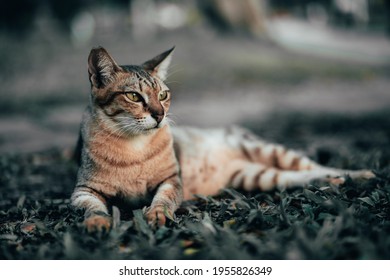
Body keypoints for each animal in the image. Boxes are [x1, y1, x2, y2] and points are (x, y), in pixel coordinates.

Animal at [71, 47, 374, 232]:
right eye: (134, 96)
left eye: (163, 95)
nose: (159, 115)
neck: (133, 147)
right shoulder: (83, 190)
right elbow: (93, 208)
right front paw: (97, 222)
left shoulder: (171, 181)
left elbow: (163, 200)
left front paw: (156, 214)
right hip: (260, 177)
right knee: (301, 176)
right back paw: (335, 182)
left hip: (268, 151)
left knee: (317, 167)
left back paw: (359, 174)